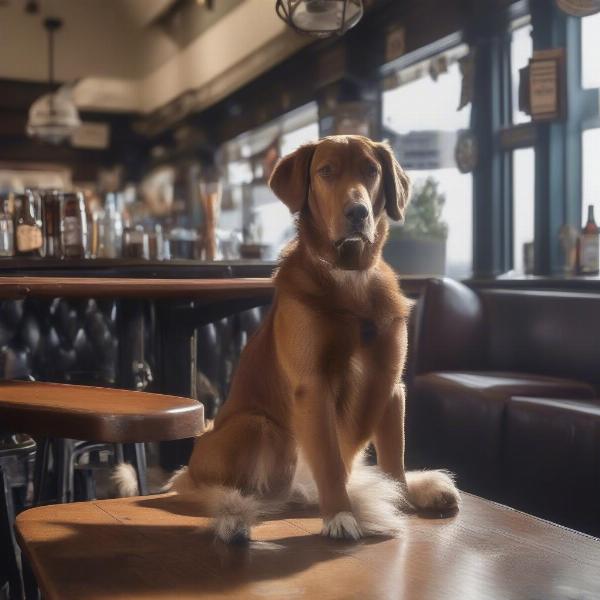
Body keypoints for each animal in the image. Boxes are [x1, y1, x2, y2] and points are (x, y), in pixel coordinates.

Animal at [166, 136, 458, 544]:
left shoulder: (391, 385)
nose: (357, 212)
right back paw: (235, 517)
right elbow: (331, 461)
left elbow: (393, 463)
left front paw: (398, 501)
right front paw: (340, 515)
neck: (351, 277)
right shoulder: (313, 387)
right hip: (257, 426)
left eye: (371, 170)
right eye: (326, 171)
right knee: (240, 491)